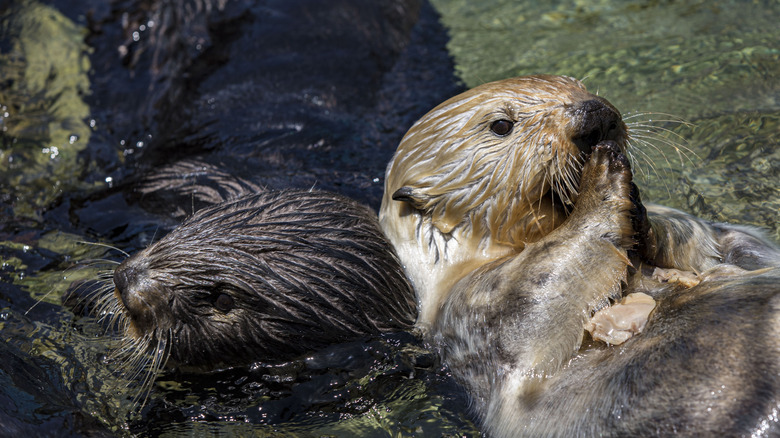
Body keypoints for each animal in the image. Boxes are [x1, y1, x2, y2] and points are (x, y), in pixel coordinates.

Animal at [380, 74, 780, 434]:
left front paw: (640, 214)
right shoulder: (475, 310)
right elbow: (540, 292)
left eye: (579, 85)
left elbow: (719, 241)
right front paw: (602, 180)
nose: (595, 114)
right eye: (501, 125)